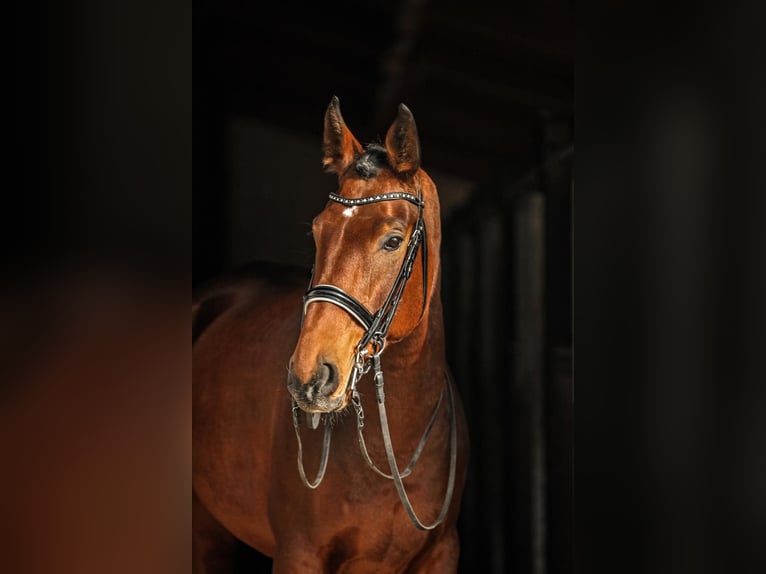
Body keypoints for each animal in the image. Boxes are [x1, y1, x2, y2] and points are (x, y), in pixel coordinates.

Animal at [190, 97, 474, 572]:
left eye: (393, 240)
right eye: (318, 231)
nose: (310, 376)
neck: (393, 445)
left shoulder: (443, 554)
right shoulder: (298, 552)